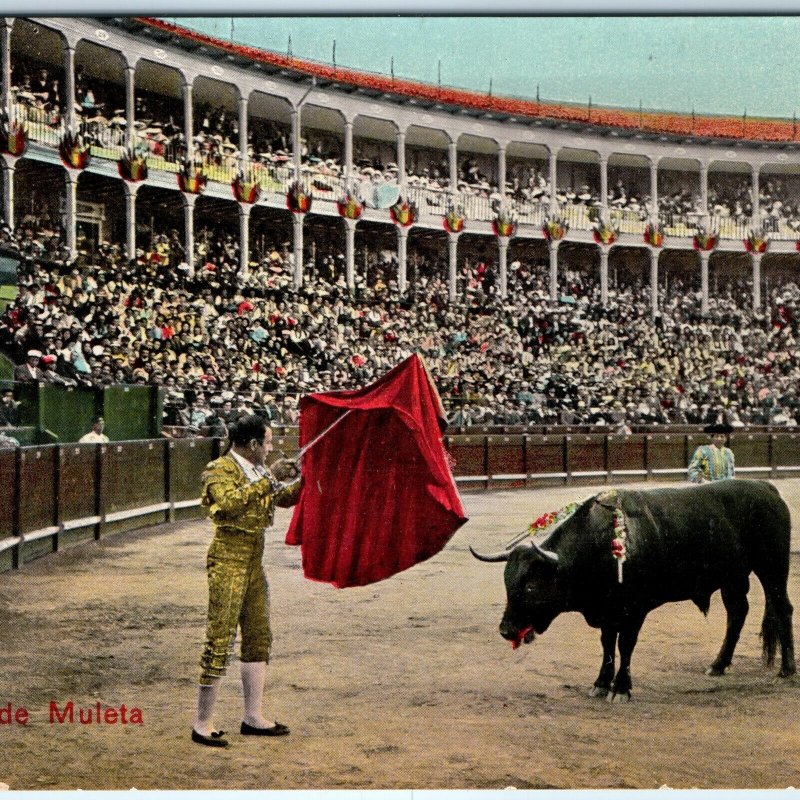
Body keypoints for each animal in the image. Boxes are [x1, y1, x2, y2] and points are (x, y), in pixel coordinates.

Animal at [472, 482, 796, 700]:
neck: (601, 545)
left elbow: (625, 645)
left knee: (782, 608)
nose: (506, 630)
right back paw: (717, 665)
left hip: (772, 567)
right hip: (733, 578)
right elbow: (607, 645)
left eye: (530, 586)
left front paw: (621, 689)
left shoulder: (635, 610)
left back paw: (787, 671)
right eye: (507, 584)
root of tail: (768, 489)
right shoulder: (607, 612)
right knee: (737, 612)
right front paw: (600, 684)